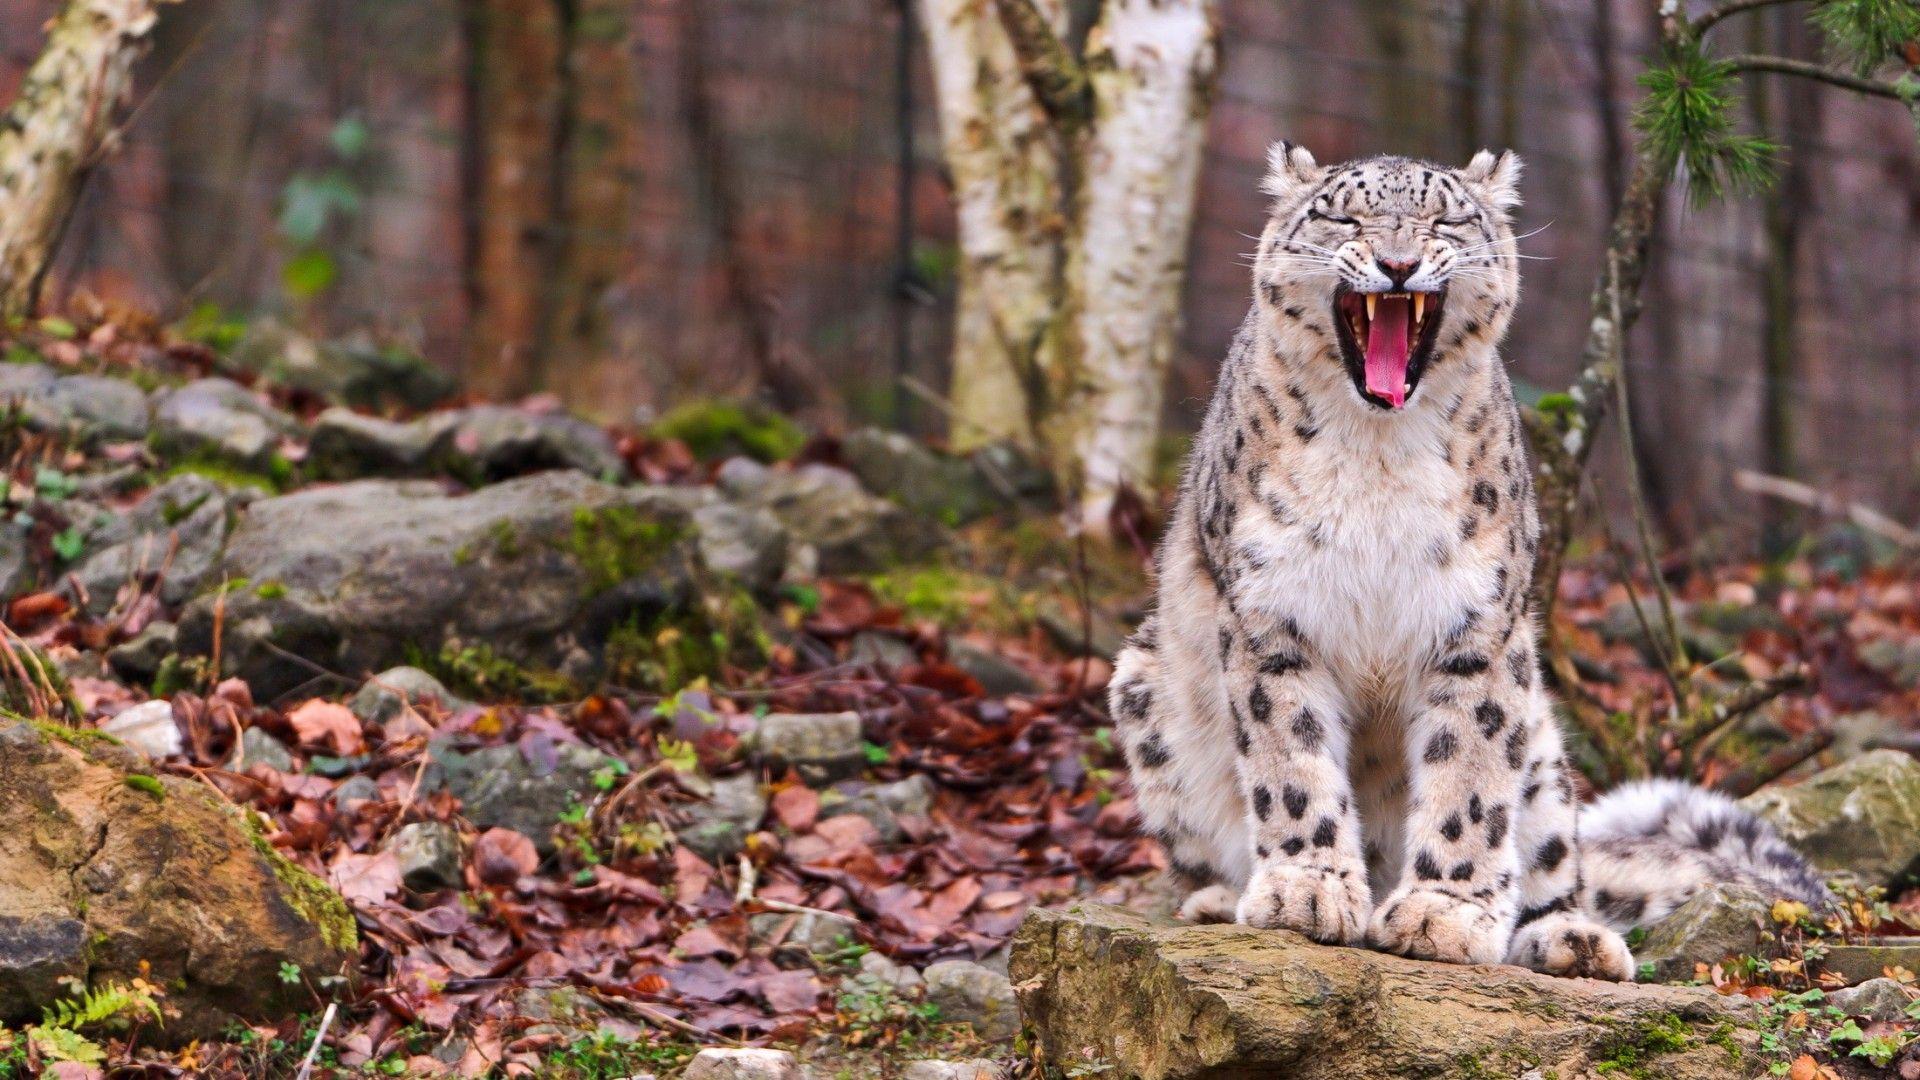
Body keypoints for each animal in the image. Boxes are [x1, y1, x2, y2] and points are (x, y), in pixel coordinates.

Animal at [1107, 144, 1827, 980]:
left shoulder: (1477, 626)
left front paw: (1442, 914)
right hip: (1144, 687)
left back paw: (1570, 939)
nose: (1398, 263)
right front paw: (1307, 890)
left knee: (1555, 860)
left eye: (1445, 220)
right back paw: (1222, 898)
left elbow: (1470, 777)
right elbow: (1292, 760)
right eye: (1343, 216)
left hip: (1542, 744)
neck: (1379, 450)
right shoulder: (1272, 615)